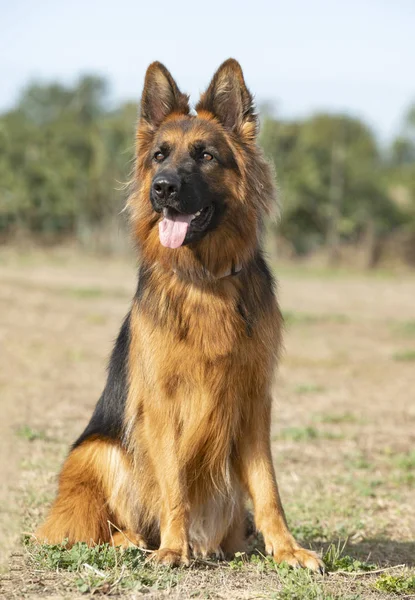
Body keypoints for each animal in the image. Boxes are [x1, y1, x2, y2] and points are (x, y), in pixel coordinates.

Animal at [37, 59, 324, 572]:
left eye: (206, 156)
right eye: (159, 156)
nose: (163, 189)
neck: (204, 280)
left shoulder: (253, 401)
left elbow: (268, 487)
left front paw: (286, 548)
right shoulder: (162, 404)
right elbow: (172, 483)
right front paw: (174, 547)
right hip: (101, 451)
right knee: (102, 523)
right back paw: (134, 541)